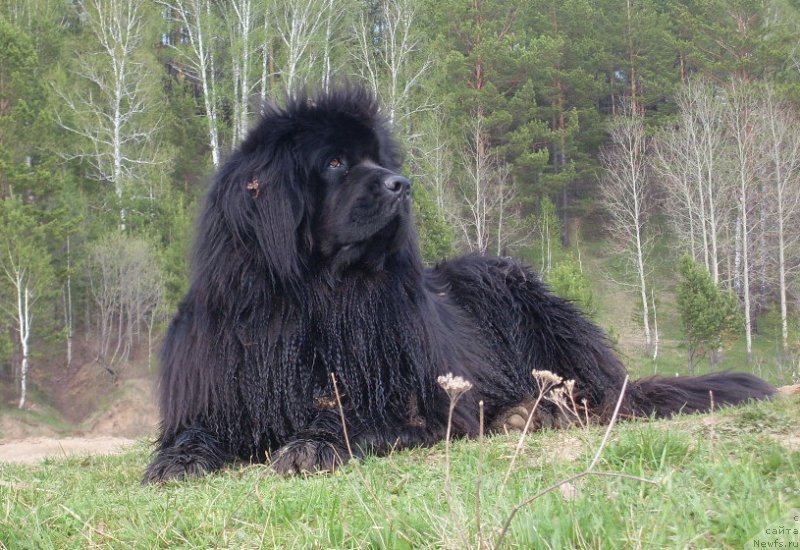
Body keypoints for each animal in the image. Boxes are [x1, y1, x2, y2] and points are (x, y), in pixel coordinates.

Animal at [144, 85, 776, 484]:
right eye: (335, 163)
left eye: (377, 159)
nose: (401, 183)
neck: (311, 297)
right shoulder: (218, 386)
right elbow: (193, 434)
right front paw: (178, 461)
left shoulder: (416, 402)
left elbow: (358, 418)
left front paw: (313, 443)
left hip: (519, 292)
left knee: (598, 399)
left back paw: (536, 413)